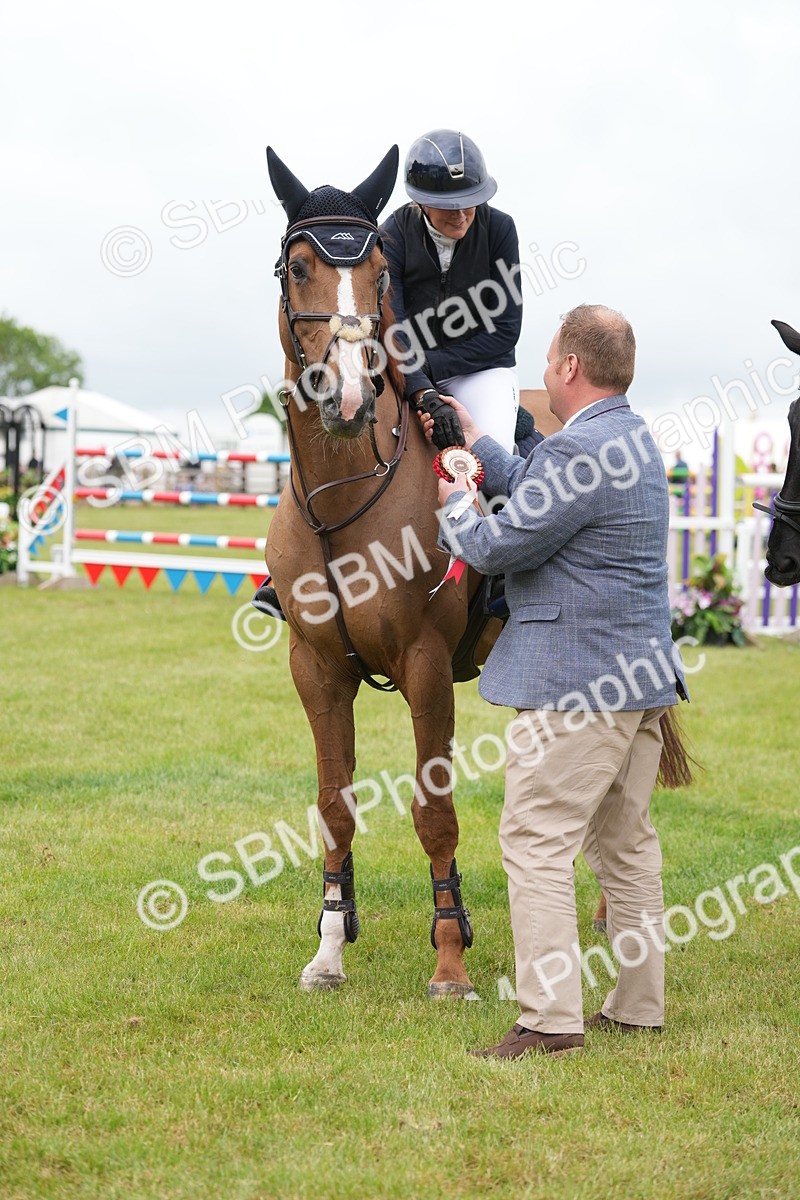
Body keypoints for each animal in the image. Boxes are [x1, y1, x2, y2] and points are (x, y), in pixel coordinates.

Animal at [263, 145, 692, 996]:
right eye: (298, 267)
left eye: (378, 276)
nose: (348, 397)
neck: (342, 496)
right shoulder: (315, 668)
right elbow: (334, 805)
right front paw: (330, 948)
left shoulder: (426, 665)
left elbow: (435, 812)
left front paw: (450, 958)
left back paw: (610, 917)